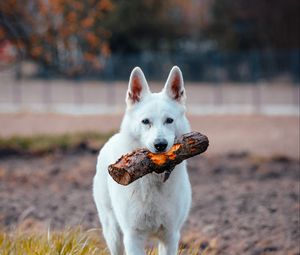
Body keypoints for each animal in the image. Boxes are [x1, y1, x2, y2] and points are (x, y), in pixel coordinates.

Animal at [94, 66, 191, 255]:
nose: (160, 145)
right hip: (113, 233)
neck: (153, 178)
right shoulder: (133, 237)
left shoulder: (170, 236)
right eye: (146, 121)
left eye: (169, 120)